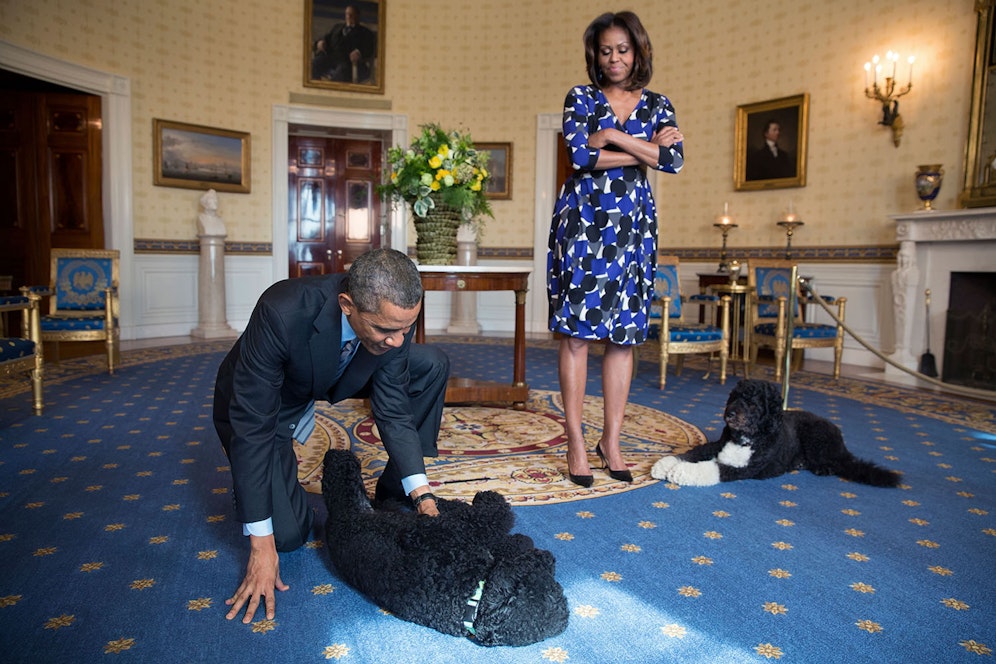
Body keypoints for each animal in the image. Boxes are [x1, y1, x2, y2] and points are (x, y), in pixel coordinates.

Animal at [320, 448, 568, 644]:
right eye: (544, 570)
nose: (547, 556)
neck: (472, 600)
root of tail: (337, 520)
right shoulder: (451, 530)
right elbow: (487, 517)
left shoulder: (448, 531)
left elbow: (489, 520)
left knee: (340, 476)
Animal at [652, 378, 904, 488]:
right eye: (734, 396)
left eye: (752, 403)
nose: (730, 414)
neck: (745, 439)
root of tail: (840, 438)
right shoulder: (717, 445)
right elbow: (695, 452)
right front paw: (665, 464)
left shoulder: (743, 468)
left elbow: (711, 468)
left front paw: (680, 472)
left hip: (817, 440)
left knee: (838, 464)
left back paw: (822, 468)